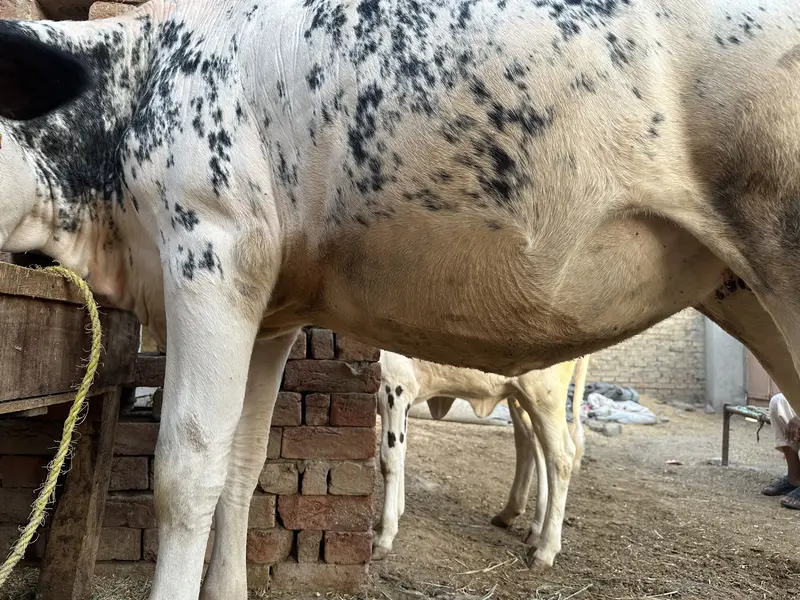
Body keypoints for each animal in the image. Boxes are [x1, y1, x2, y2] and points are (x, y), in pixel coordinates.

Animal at [373, 350, 589, 560]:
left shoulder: (395, 387)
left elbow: (390, 458)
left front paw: (385, 535)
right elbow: (401, 452)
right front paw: (391, 517)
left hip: (545, 397)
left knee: (561, 456)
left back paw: (546, 550)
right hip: (521, 397)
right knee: (530, 443)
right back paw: (521, 522)